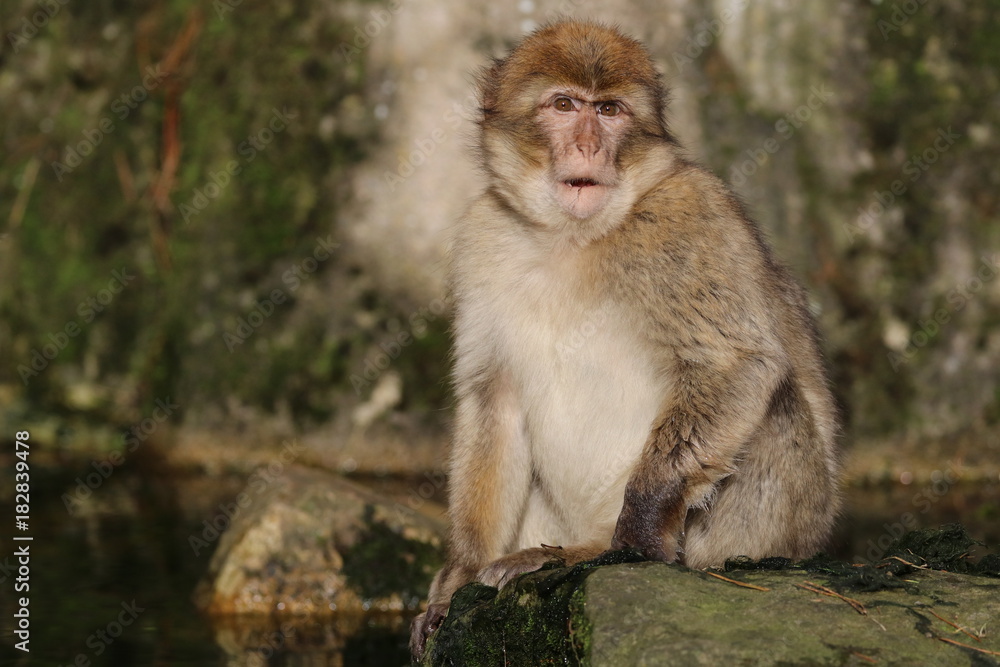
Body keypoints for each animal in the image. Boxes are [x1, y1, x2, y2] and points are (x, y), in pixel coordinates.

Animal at [410, 20, 840, 659]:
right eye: (565, 105)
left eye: (609, 110)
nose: (589, 146)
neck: (573, 238)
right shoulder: (483, 236)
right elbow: (495, 399)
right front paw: (460, 571)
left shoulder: (691, 218)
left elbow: (735, 365)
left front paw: (631, 541)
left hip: (780, 525)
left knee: (774, 404)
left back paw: (588, 550)